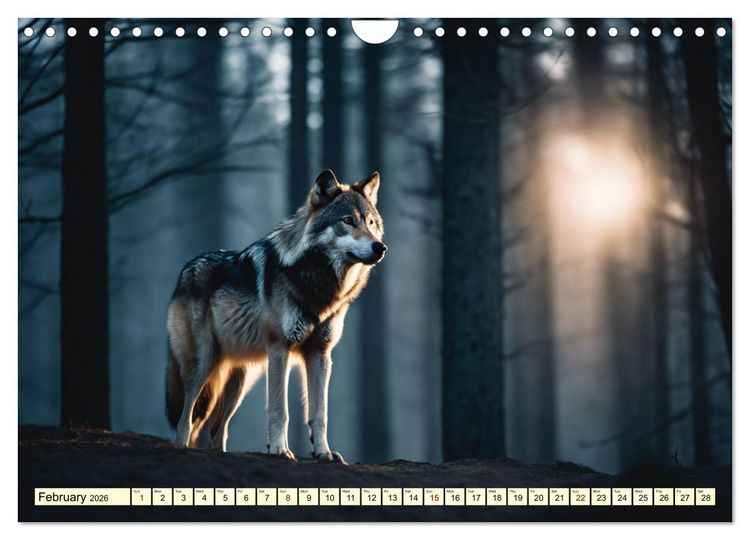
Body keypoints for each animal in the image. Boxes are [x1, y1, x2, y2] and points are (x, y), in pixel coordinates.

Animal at [165, 169, 386, 463]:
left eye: (371, 223)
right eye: (348, 221)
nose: (380, 247)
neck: (317, 284)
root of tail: (185, 269)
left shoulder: (320, 353)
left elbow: (319, 414)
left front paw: (324, 452)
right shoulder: (280, 349)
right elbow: (281, 410)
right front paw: (281, 450)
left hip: (240, 382)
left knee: (214, 429)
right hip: (203, 364)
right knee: (186, 419)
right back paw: (181, 447)